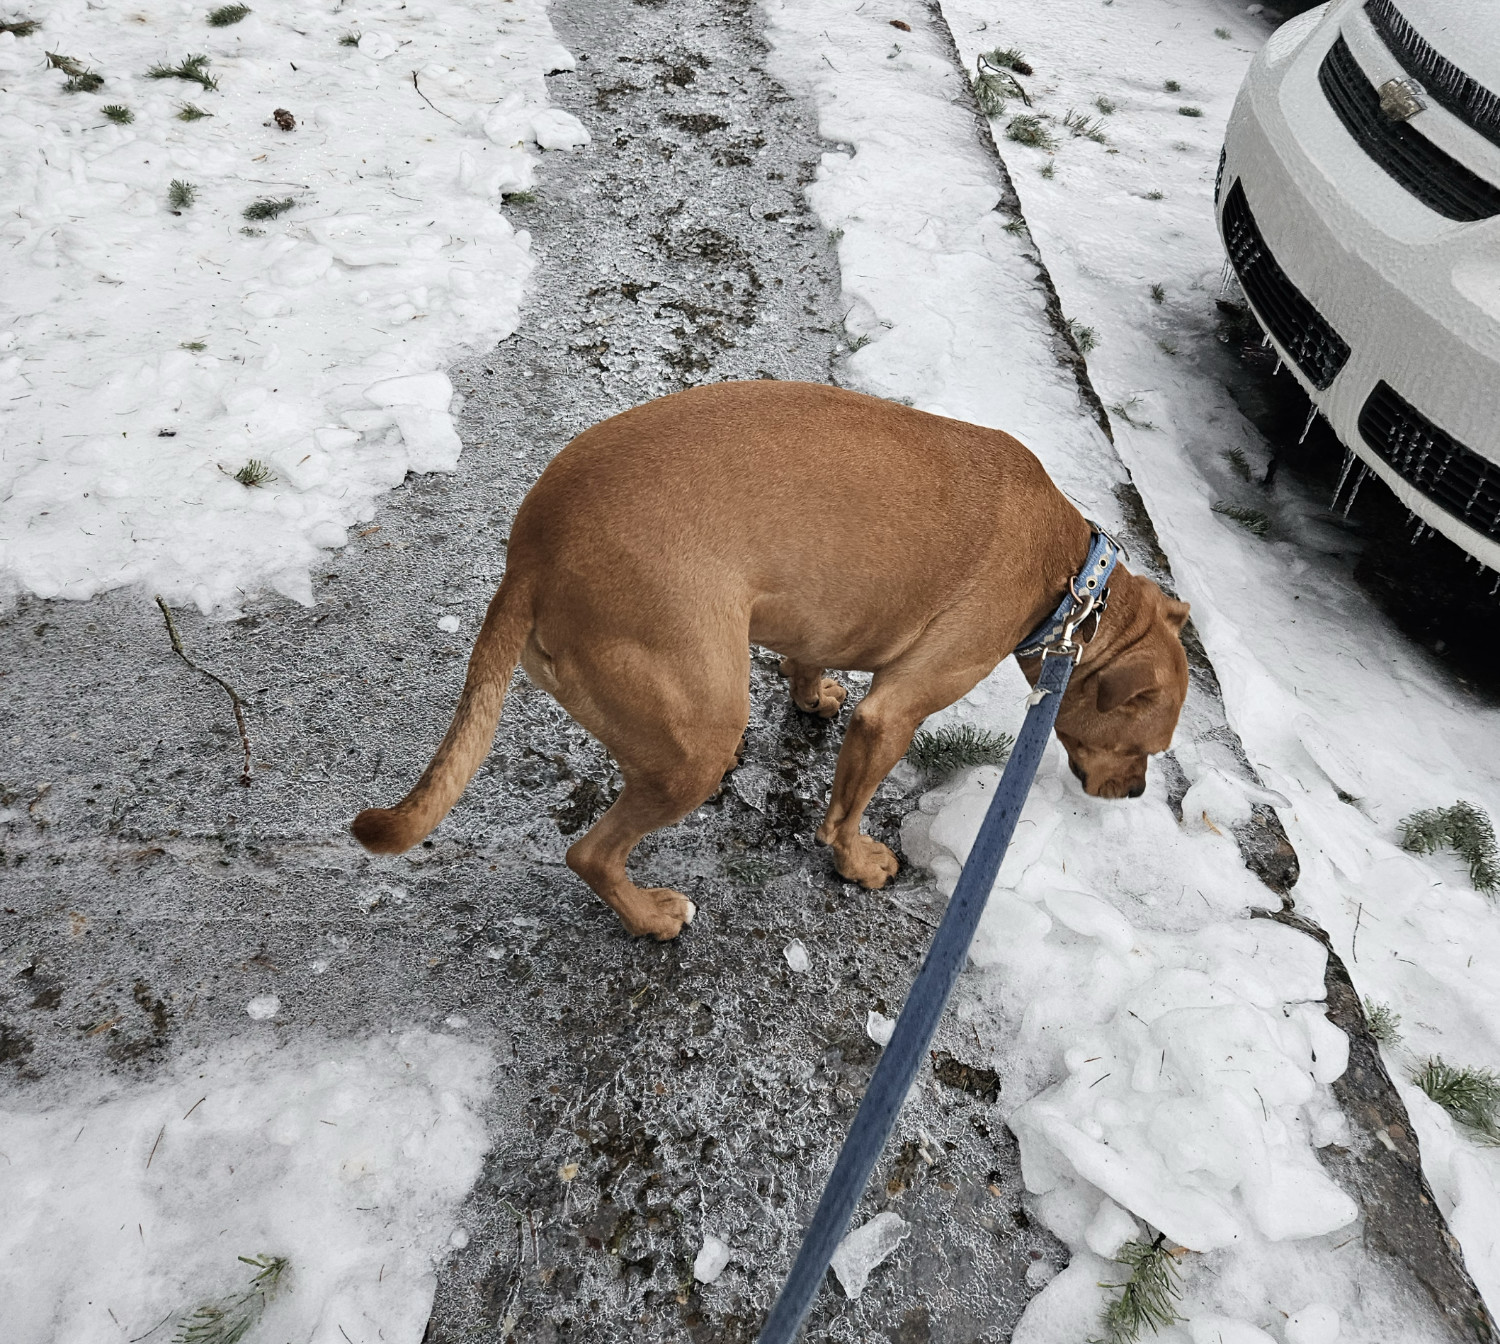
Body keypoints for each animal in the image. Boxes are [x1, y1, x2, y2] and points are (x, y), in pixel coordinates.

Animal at [351, 381, 1182, 936]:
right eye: (1149, 745)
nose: (1137, 794)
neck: (1071, 579)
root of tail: (532, 557)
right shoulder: (893, 715)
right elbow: (846, 810)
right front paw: (857, 863)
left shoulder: (815, 618)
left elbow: (807, 664)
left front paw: (813, 696)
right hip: (698, 740)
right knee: (589, 853)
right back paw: (651, 917)